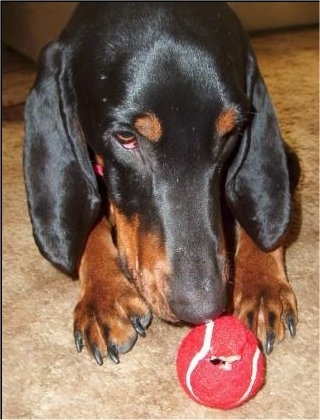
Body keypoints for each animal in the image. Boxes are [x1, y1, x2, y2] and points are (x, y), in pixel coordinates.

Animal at [23, 2, 298, 364]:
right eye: (126, 138)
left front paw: (262, 283)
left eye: (230, 135)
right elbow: (88, 216)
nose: (202, 309)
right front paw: (104, 294)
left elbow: (260, 210)